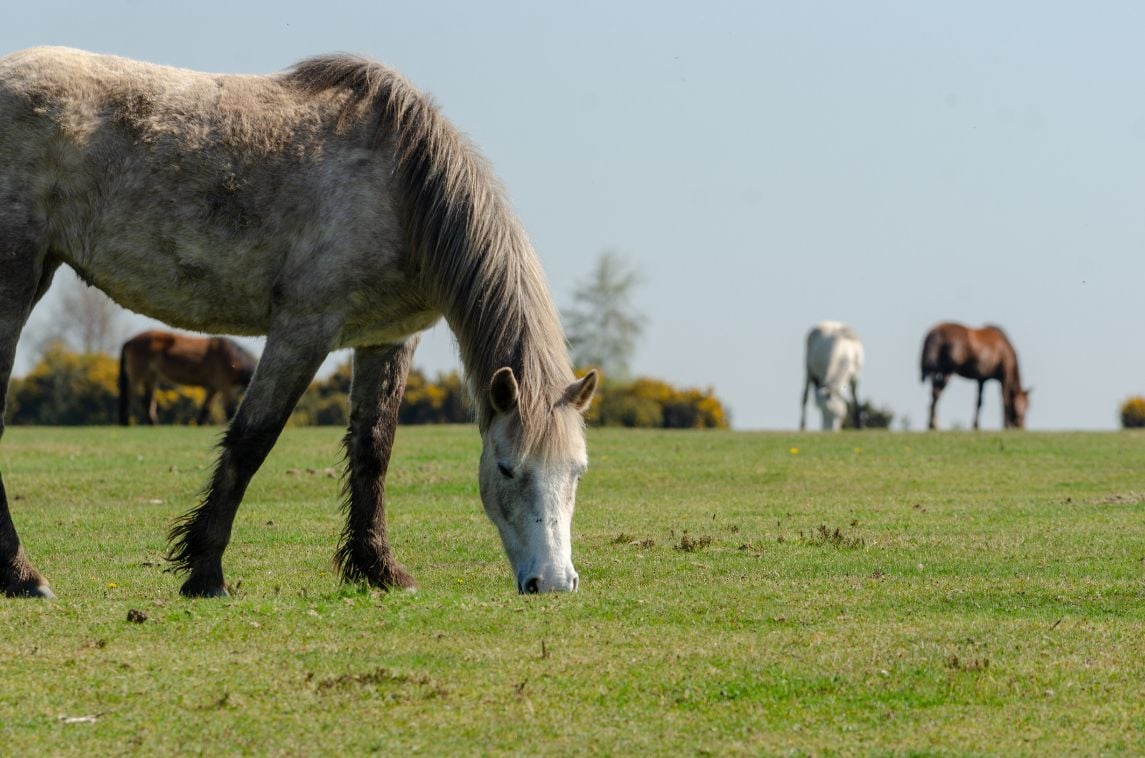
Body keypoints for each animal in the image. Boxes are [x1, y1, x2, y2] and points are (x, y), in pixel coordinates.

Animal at [117, 332, 255, 428]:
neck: (231, 357)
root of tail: (129, 341)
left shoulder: (213, 389)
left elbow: (206, 408)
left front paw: (200, 424)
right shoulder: (224, 386)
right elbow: (230, 410)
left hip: (151, 376)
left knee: (147, 401)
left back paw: (154, 424)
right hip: (137, 375)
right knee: (129, 397)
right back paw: (126, 422)